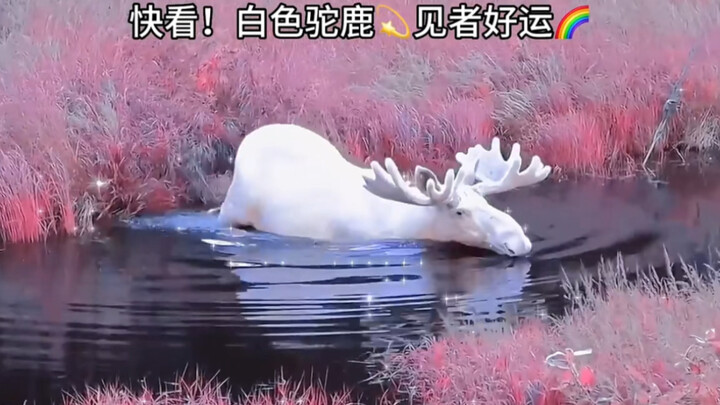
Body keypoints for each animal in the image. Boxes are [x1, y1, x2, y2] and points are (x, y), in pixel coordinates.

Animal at [215, 123, 552, 257]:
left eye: (485, 200)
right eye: (459, 211)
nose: (518, 242)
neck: (413, 223)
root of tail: (248, 140)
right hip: (231, 209)